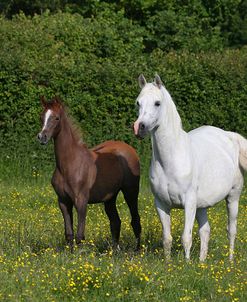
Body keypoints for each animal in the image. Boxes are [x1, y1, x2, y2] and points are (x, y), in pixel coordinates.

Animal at [134, 74, 247, 260]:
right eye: (138, 102)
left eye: (157, 103)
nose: (139, 127)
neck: (171, 160)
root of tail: (230, 136)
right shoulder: (161, 204)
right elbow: (167, 238)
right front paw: (168, 264)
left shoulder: (189, 202)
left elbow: (186, 238)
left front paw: (186, 265)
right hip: (201, 205)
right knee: (205, 231)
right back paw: (201, 262)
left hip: (233, 197)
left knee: (231, 230)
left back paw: (230, 261)